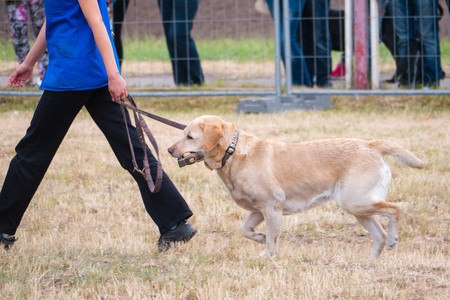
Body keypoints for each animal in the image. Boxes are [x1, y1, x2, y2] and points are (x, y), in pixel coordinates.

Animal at [169, 115, 426, 258]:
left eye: (190, 137)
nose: (170, 150)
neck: (232, 153)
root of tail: (372, 145)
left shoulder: (272, 207)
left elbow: (272, 240)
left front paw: (266, 256)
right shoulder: (258, 210)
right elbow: (246, 230)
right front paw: (260, 238)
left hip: (356, 202)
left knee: (395, 210)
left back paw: (393, 239)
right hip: (358, 208)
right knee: (378, 235)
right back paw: (369, 262)